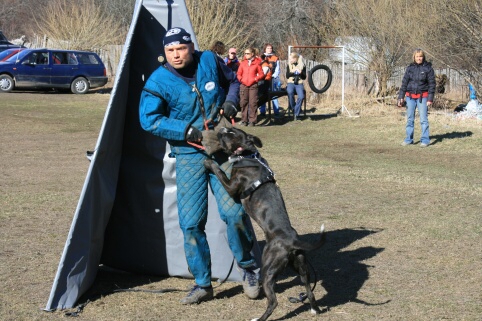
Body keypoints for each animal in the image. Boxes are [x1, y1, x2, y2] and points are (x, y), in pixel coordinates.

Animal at [203, 126, 324, 318]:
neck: (247, 155)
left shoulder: (231, 187)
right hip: (301, 267)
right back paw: (313, 309)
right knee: (309, 290)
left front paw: (208, 163)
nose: (222, 128)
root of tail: (292, 241)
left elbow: (219, 171)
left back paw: (258, 318)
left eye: (231, 133)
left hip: (268, 271)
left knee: (273, 302)